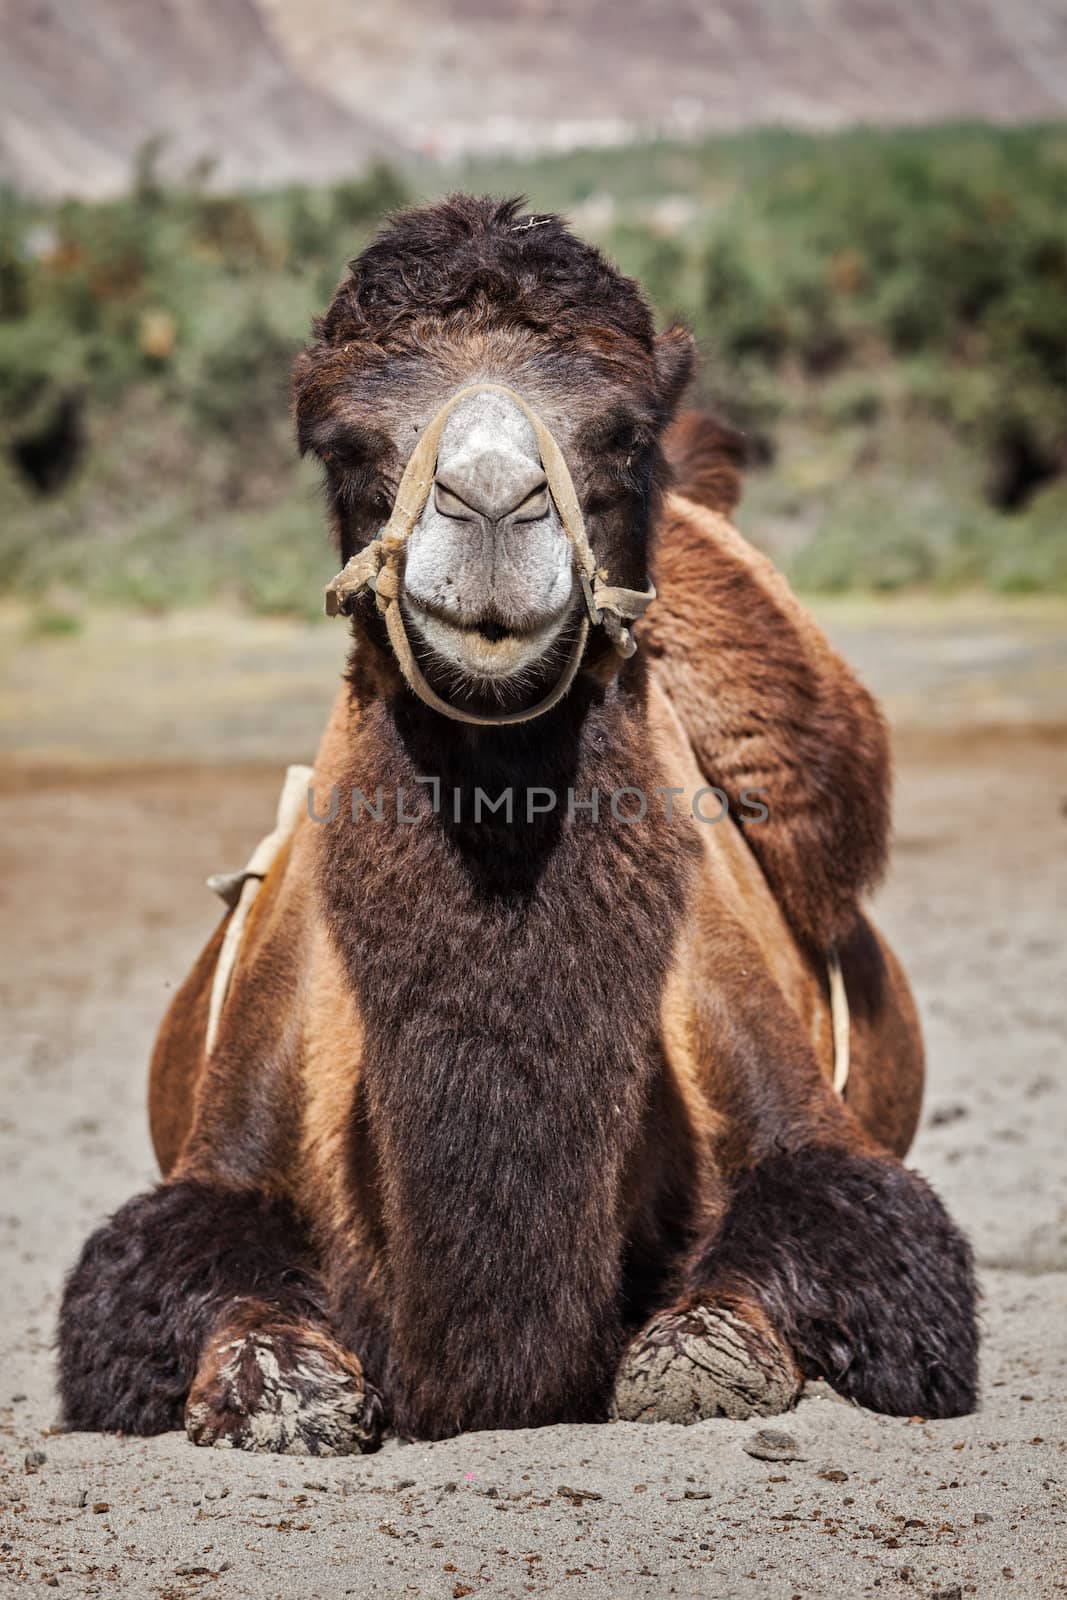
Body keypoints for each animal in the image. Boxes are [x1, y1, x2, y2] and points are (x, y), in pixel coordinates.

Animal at [56, 200, 979, 1452]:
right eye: (341, 443)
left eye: (624, 434)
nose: (492, 505)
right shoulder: (215, 1165)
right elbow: (184, 1302)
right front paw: (288, 1386)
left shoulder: (820, 1146)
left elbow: (760, 1309)